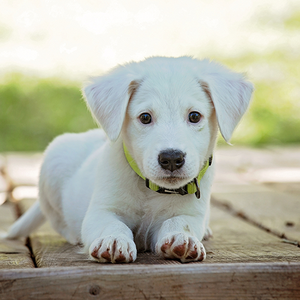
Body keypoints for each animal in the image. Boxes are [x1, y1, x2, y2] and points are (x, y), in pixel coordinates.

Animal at [6, 56, 253, 262]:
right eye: (145, 117)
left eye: (194, 116)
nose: (171, 158)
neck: (150, 190)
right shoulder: (101, 211)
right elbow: (113, 224)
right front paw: (114, 240)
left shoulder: (191, 213)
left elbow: (179, 222)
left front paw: (182, 238)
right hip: (53, 162)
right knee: (59, 222)